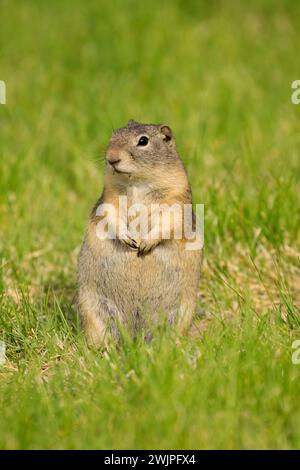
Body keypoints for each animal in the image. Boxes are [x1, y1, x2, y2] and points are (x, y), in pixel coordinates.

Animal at [77, 119, 202, 346]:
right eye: (113, 134)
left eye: (143, 141)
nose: (111, 158)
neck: (136, 182)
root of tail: (135, 337)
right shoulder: (109, 197)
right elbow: (110, 215)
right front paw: (128, 240)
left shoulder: (177, 200)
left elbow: (168, 222)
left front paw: (144, 245)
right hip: (93, 309)